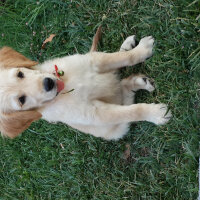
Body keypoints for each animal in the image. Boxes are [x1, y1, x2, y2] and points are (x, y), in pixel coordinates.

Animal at [0, 30, 171, 141]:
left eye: (20, 74)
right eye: (22, 100)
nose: (48, 83)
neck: (67, 86)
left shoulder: (93, 61)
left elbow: (124, 57)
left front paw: (142, 49)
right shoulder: (96, 114)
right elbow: (131, 112)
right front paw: (155, 113)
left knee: (117, 68)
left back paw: (128, 46)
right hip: (116, 130)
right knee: (124, 94)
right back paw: (140, 82)